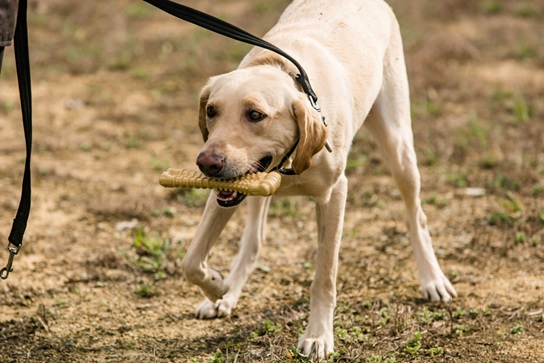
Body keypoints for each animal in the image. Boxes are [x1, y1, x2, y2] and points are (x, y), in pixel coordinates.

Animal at [181, 0, 456, 360]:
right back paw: (229, 293)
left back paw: (432, 279)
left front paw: (318, 335)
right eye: (211, 111)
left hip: (399, 149)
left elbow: (324, 276)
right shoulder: (226, 192)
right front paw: (218, 286)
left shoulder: (334, 195)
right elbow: (191, 260)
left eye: (255, 115)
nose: (207, 163)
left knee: (416, 216)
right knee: (253, 241)